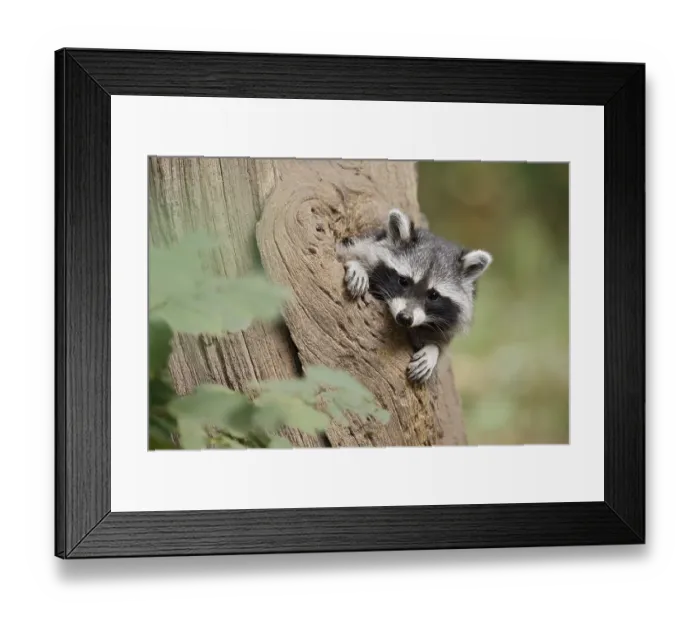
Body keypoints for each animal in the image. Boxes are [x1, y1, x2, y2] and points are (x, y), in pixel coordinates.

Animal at [337, 208, 492, 384]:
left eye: (433, 295)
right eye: (403, 281)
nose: (405, 318)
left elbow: (442, 340)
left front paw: (433, 350)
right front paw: (358, 265)